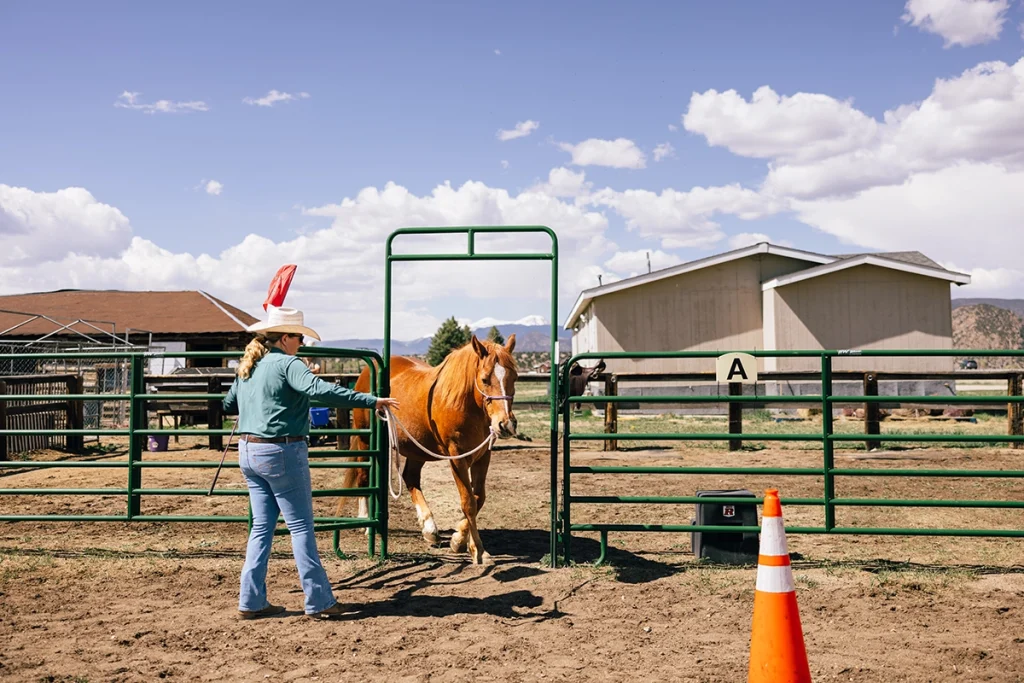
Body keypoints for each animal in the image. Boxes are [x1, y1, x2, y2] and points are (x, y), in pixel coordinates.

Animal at [338, 334, 518, 564]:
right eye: (485, 379)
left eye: (514, 378)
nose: (506, 424)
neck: (465, 403)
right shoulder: (457, 457)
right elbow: (468, 501)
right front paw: (477, 549)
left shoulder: (482, 456)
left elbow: (478, 499)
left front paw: (459, 539)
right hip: (366, 440)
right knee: (363, 476)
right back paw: (366, 522)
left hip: (417, 449)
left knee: (410, 478)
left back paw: (429, 528)